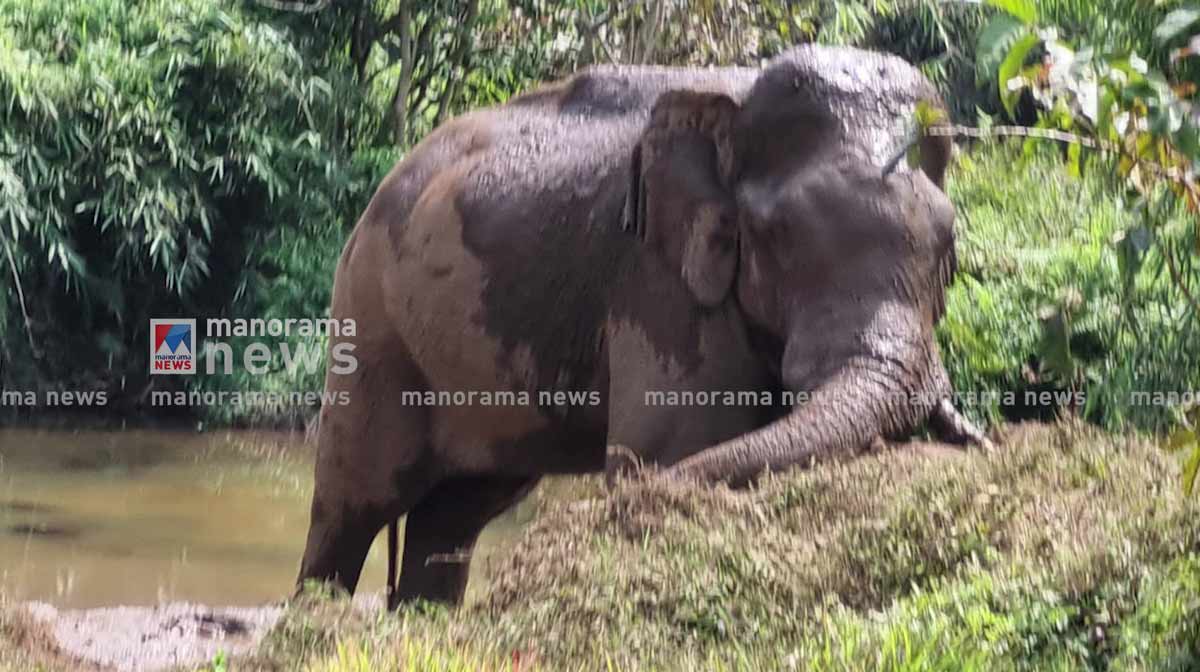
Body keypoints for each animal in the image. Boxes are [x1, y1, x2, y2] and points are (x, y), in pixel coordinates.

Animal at [296, 45, 989, 606]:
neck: (732, 104)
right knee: (355, 501)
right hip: (371, 325)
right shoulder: (656, 281)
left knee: (457, 512)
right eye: (777, 236)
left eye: (950, 246)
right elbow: (674, 445)